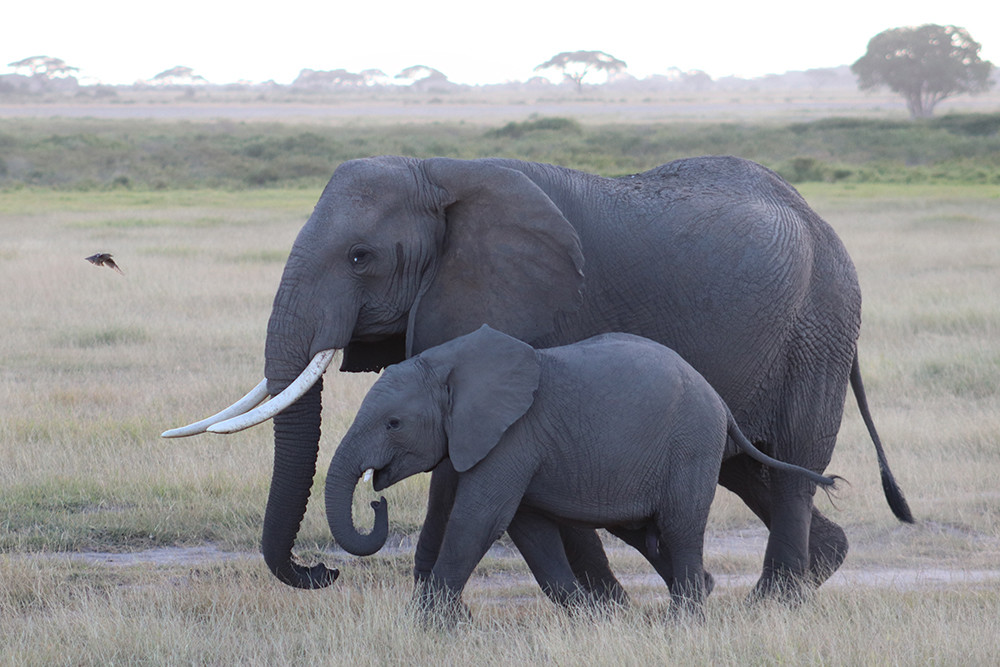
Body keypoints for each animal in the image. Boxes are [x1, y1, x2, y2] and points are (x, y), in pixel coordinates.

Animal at [326, 326, 838, 623]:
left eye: (394, 424)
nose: (376, 500)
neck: (448, 363)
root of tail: (719, 402)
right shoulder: (517, 446)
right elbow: (529, 529)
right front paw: (589, 619)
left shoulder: (513, 436)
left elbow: (480, 519)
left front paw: (429, 626)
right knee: (651, 533)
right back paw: (696, 596)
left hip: (692, 445)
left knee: (679, 527)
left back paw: (684, 621)